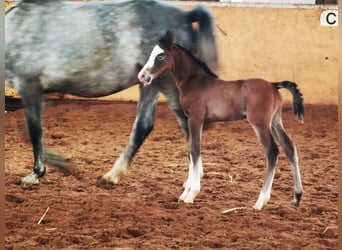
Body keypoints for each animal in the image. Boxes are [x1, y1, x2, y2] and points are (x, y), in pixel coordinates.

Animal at [5, 0, 216, 184]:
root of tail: (185, 16)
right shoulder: (41, 93)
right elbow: (26, 130)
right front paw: (64, 166)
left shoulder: (29, 85)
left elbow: (34, 131)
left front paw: (36, 173)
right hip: (150, 84)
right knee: (144, 126)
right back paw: (114, 175)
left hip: (168, 84)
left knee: (188, 126)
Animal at [138, 31, 304, 211]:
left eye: (160, 56)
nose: (142, 76)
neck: (195, 82)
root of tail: (274, 85)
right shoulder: (190, 121)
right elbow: (190, 150)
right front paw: (185, 192)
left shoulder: (195, 119)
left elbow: (194, 150)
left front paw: (191, 194)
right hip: (275, 121)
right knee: (289, 147)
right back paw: (297, 197)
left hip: (260, 123)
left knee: (272, 151)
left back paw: (260, 202)